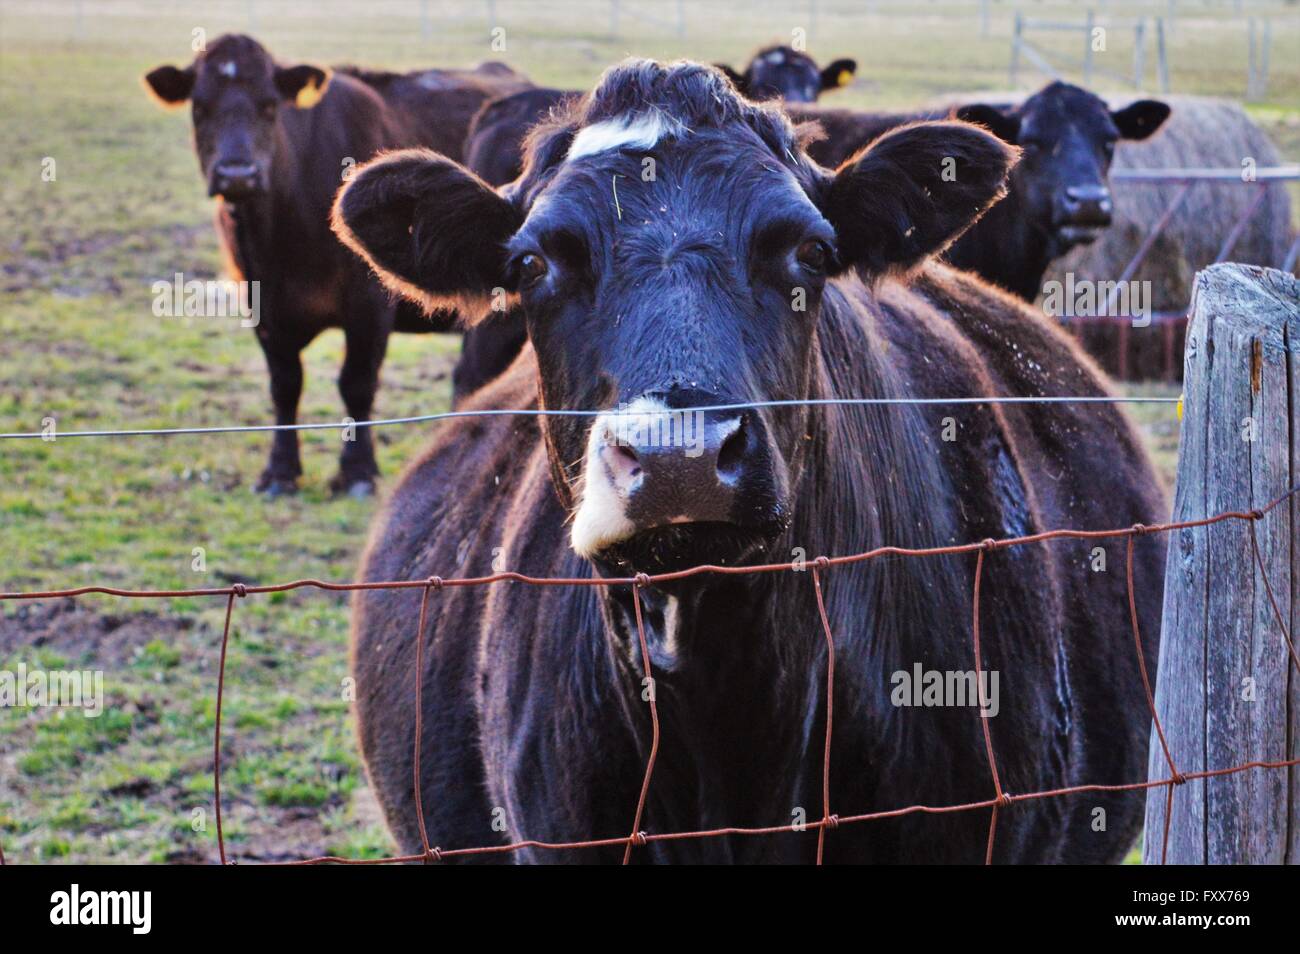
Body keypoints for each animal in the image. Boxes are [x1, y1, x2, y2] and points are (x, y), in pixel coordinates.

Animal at [144, 33, 525, 496]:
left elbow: (356, 383)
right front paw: (280, 471)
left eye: (269, 105)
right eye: (200, 107)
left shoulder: (369, 306)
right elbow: (285, 384)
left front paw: (357, 471)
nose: (237, 174)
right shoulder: (263, 307)